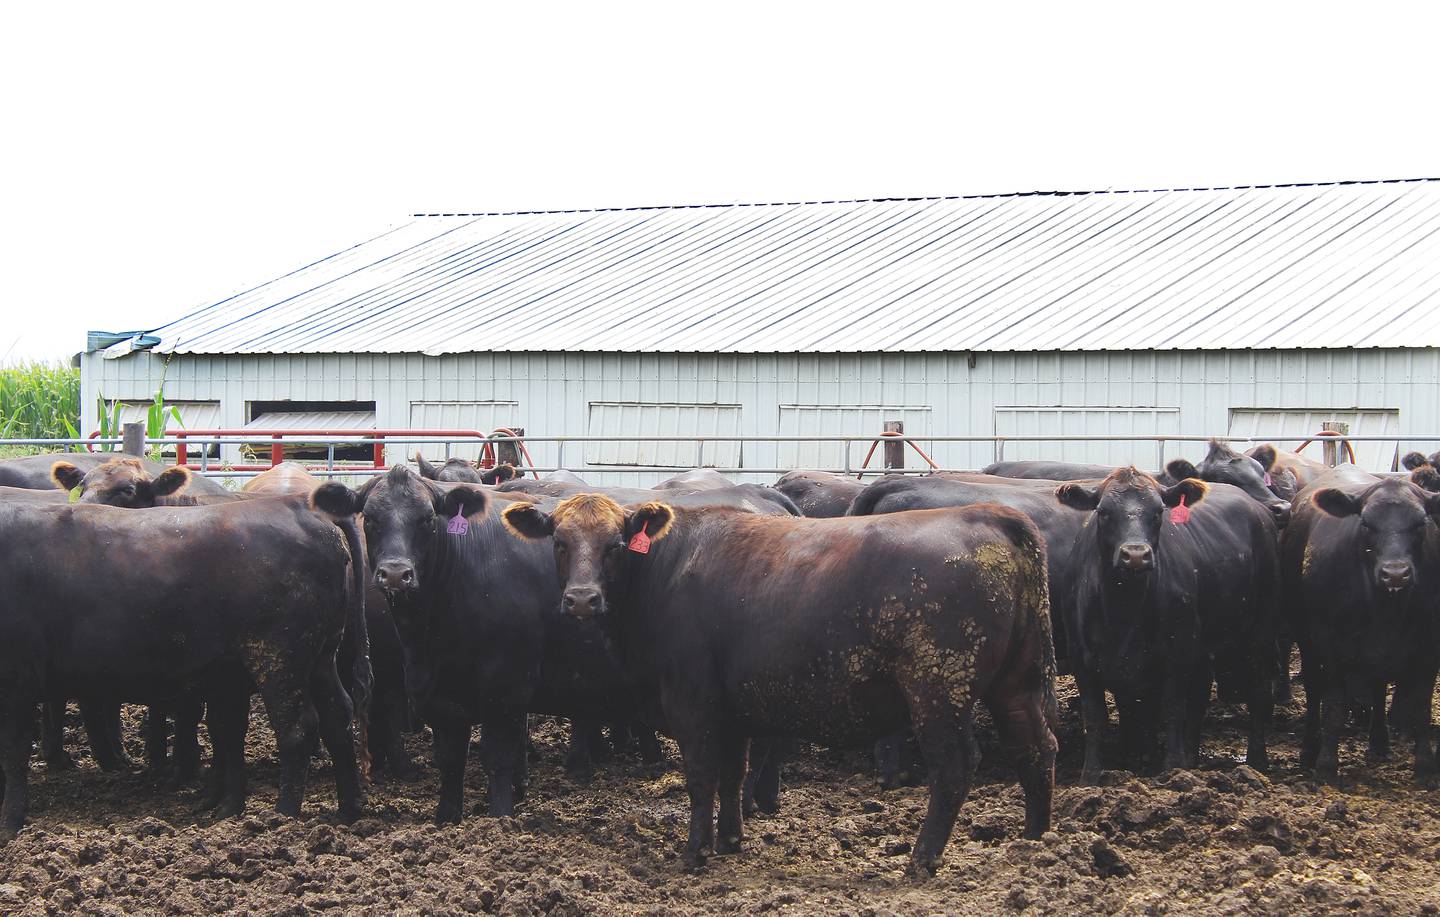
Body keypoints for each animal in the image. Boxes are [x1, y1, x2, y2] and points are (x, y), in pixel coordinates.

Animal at [0, 486, 370, 840]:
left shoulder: (16, 678)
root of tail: (301, 505)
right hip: (319, 657)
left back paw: (283, 815)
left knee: (297, 729)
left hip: (279, 657)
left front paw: (9, 823)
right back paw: (348, 808)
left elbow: (13, 750)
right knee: (336, 716)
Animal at [499, 495, 1057, 876]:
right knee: (1035, 746)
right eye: (559, 543)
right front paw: (730, 841)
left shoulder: (692, 703)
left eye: (615, 545)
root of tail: (989, 515)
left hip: (938, 689)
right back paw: (1035, 839)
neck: (667, 568)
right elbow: (732, 773)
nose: (582, 599)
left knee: (955, 766)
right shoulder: (733, 708)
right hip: (1017, 683)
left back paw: (923, 857)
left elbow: (701, 776)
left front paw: (695, 851)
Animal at [1055, 468, 1279, 783]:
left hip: (1261, 629)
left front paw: (1173, 768)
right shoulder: (1082, 658)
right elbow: (1096, 715)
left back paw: (1256, 761)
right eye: (1103, 512)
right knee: (1199, 698)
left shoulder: (1178, 652)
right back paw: (1192, 757)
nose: (1136, 554)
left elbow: (1172, 708)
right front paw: (1091, 776)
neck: (1123, 609)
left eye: (1159, 511)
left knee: (1257, 692)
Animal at [1281, 465, 1440, 783]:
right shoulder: (1330, 647)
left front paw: (1426, 767)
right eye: (1366, 523)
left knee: (1377, 687)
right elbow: (1334, 706)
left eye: (1420, 523)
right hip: (1306, 639)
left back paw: (1379, 742)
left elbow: (1421, 708)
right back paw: (1309, 750)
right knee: (1315, 690)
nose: (1395, 573)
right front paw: (1326, 765)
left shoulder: (1429, 649)